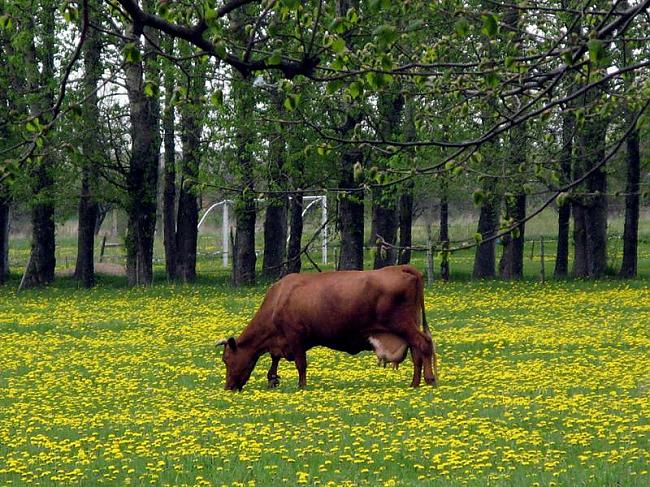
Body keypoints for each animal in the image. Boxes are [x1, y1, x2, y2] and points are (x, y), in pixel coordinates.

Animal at [216, 264, 436, 390]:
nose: (228, 387)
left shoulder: (295, 337)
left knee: (424, 344)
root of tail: (402, 267)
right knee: (417, 352)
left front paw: (302, 387)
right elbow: (274, 360)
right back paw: (414, 383)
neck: (278, 300)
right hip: (411, 324)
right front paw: (273, 379)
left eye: (227, 359)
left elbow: (301, 364)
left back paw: (428, 380)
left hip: (403, 325)